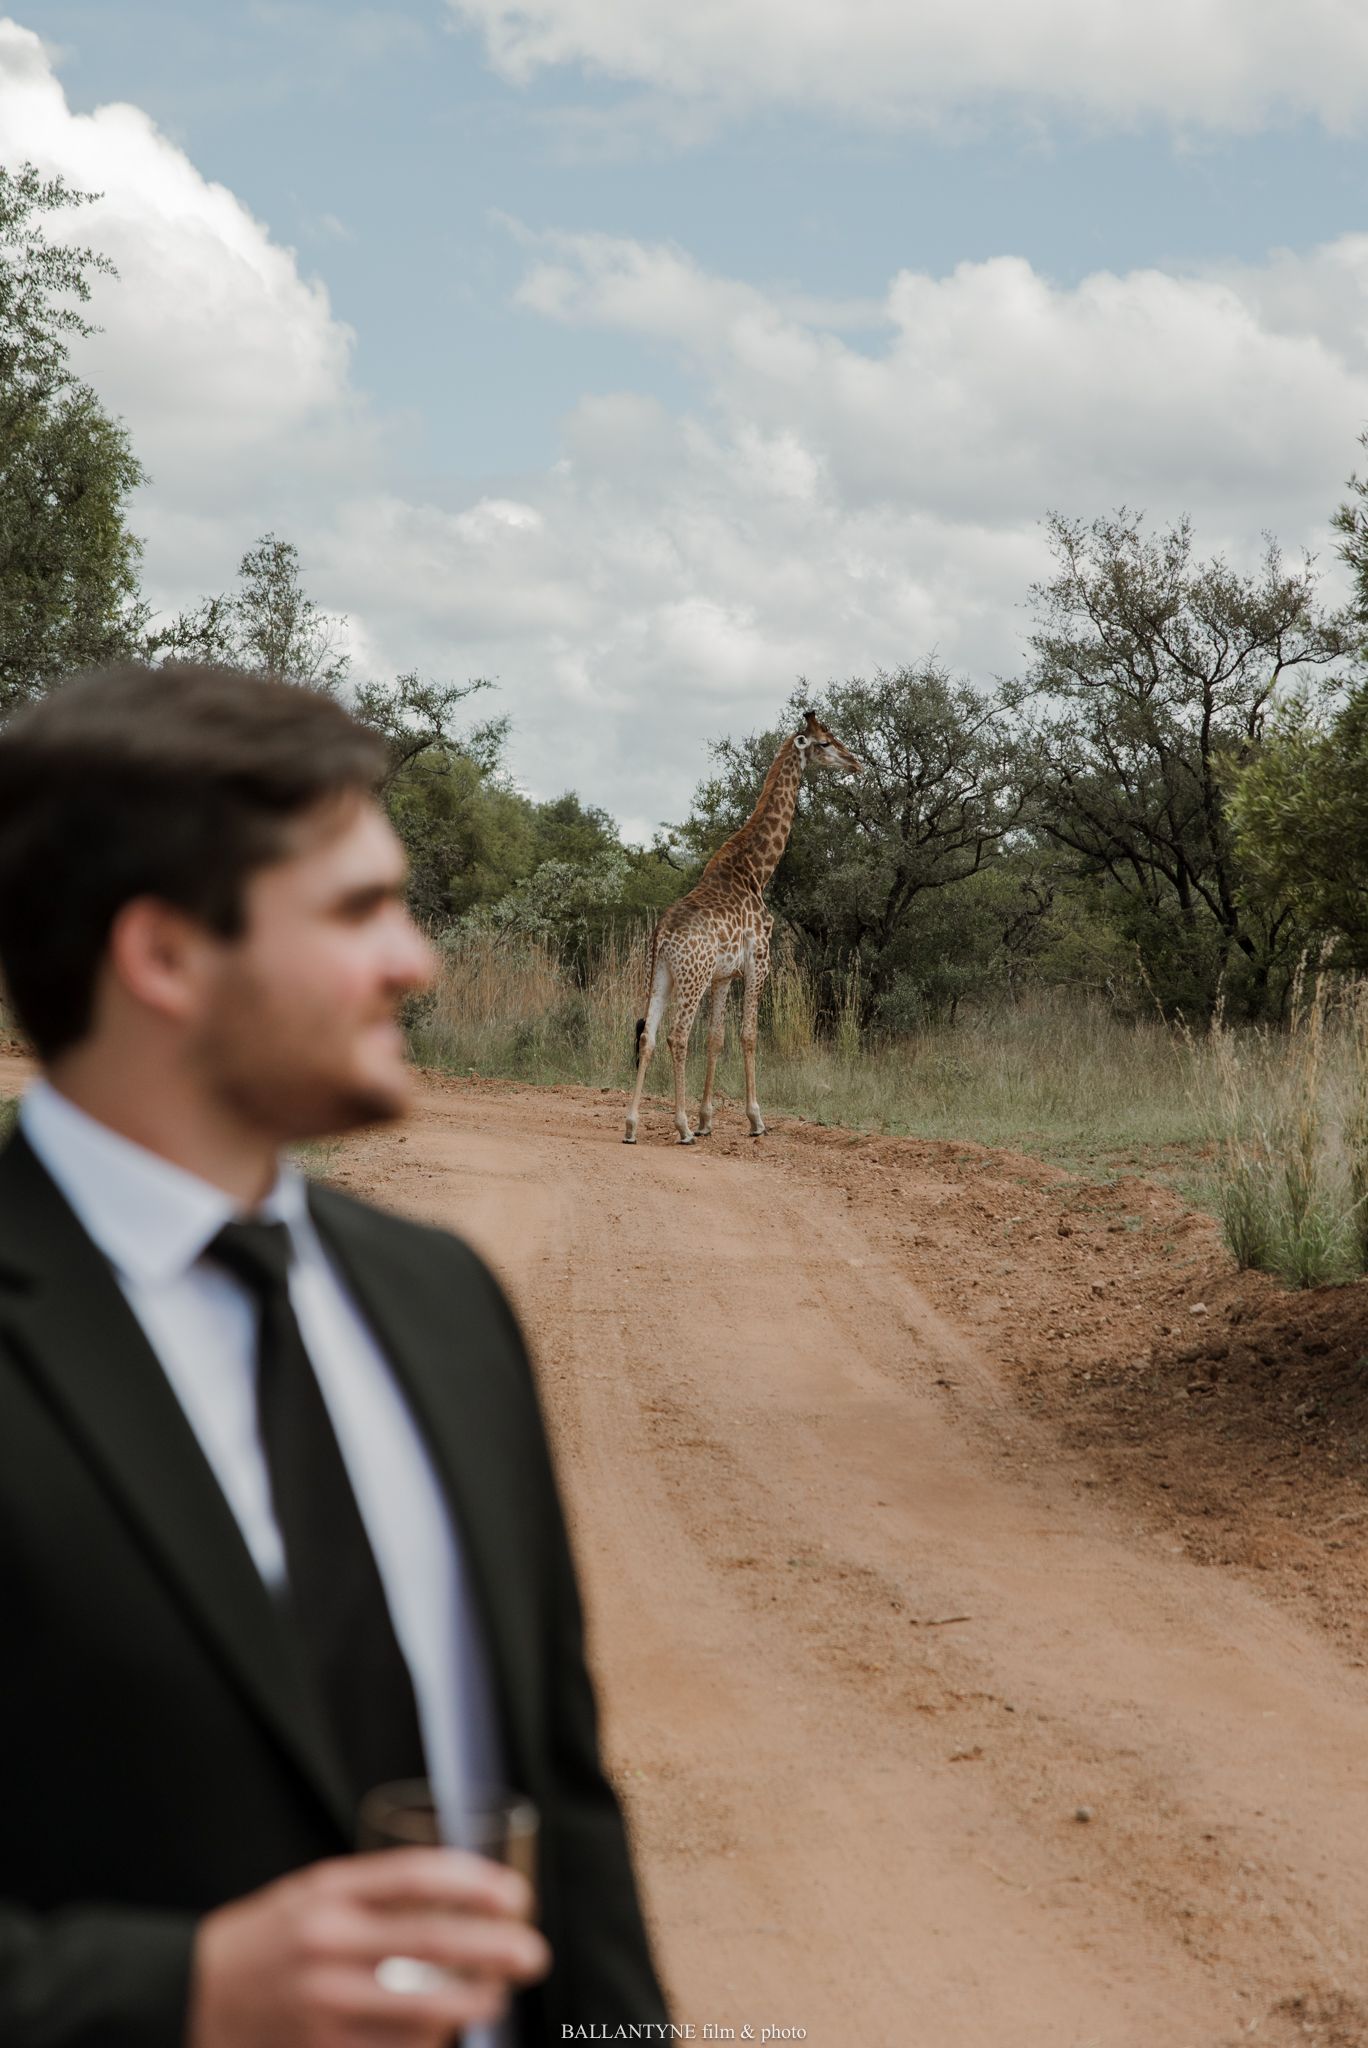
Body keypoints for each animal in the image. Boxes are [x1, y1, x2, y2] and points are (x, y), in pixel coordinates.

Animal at [624, 710, 863, 1146]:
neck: (756, 870)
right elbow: (749, 1035)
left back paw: (632, 1125)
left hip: (662, 974)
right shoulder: (759, 962)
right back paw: (680, 1128)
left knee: (648, 1035)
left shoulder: (723, 976)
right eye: (824, 742)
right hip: (692, 977)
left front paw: (707, 1120)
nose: (855, 762)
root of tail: (663, 937)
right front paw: (755, 1119)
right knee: (677, 1036)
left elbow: (717, 1039)